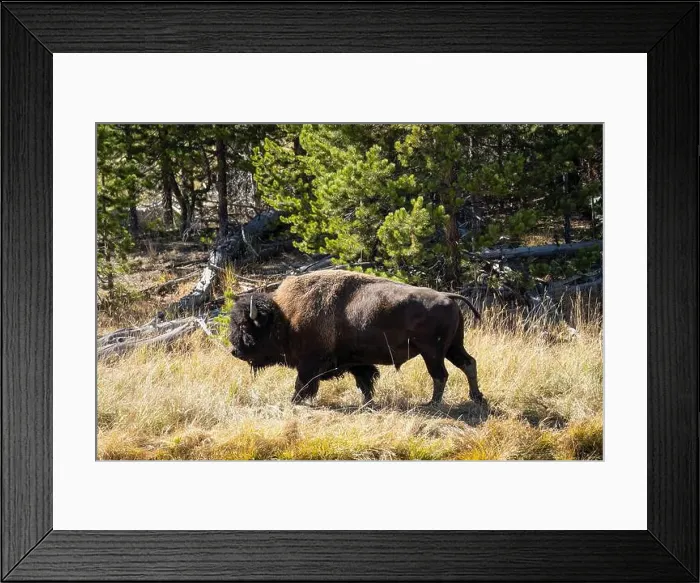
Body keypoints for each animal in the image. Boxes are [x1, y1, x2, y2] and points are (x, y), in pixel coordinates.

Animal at [228, 270, 484, 406]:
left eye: (245, 326)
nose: (235, 351)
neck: (284, 316)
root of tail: (447, 296)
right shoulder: (355, 361)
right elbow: (365, 381)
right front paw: (367, 403)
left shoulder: (310, 363)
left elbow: (303, 384)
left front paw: (295, 401)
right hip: (453, 346)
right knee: (468, 363)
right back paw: (476, 397)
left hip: (432, 352)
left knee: (440, 375)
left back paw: (433, 403)